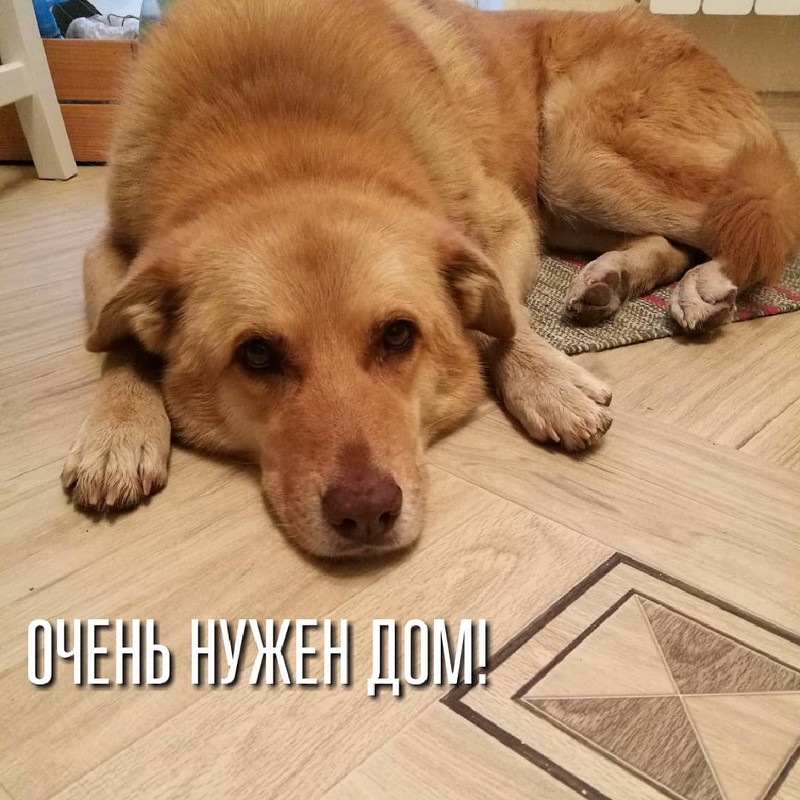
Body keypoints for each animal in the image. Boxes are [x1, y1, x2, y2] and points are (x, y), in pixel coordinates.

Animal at [62, 0, 800, 556]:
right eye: (257, 355)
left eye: (398, 336)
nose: (365, 512)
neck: (279, 141)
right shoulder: (108, 248)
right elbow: (116, 337)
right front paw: (119, 428)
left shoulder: (504, 222)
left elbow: (503, 318)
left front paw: (547, 380)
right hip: (567, 202)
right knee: (673, 241)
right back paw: (612, 279)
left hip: (578, 157)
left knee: (762, 213)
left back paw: (708, 284)